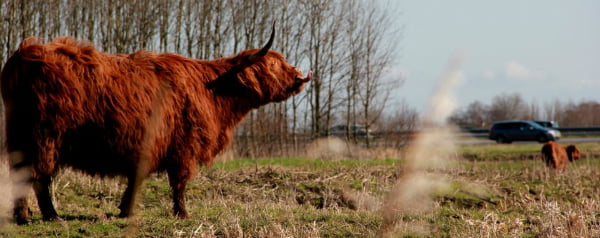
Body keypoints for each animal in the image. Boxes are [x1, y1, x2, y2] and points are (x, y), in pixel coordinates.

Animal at [0, 26, 310, 225]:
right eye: (275, 65)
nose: (300, 77)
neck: (213, 89)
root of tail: (25, 53)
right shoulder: (184, 146)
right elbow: (179, 182)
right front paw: (182, 213)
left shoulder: (149, 146)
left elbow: (137, 179)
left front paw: (125, 211)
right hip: (44, 137)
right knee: (38, 175)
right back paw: (47, 216)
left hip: (22, 137)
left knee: (23, 174)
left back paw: (25, 215)